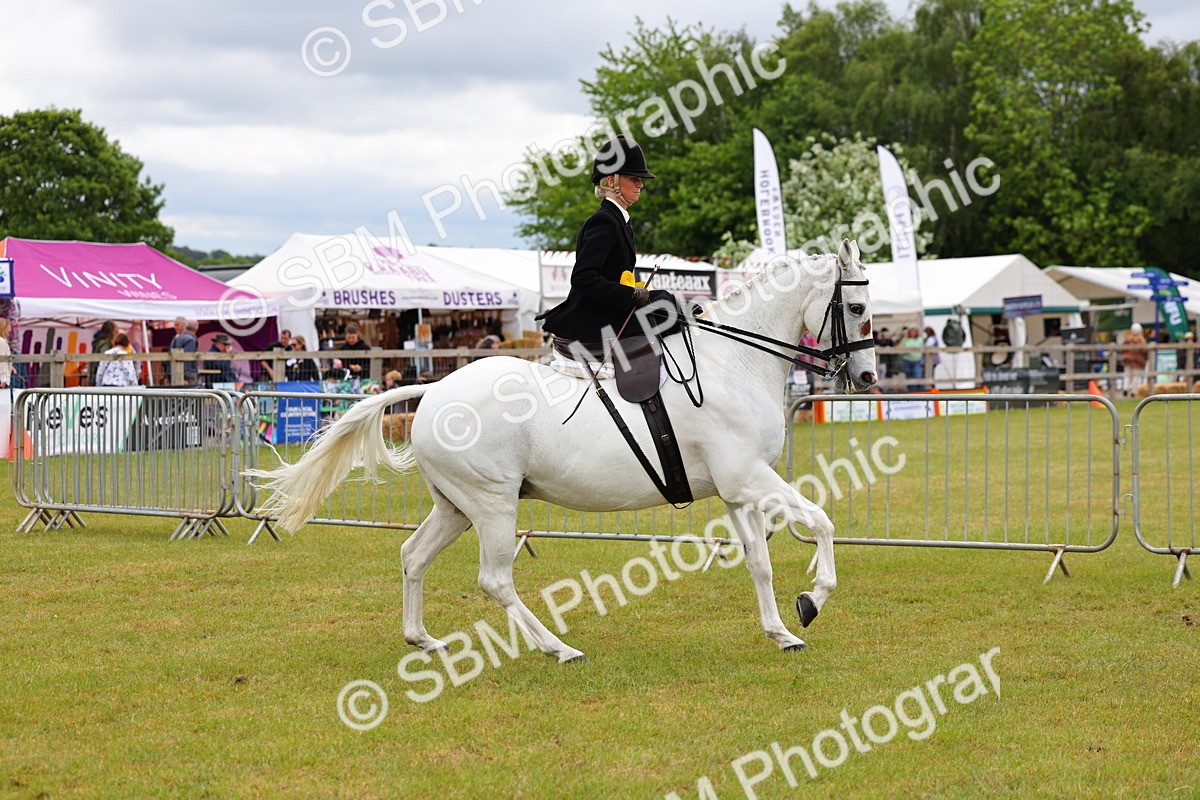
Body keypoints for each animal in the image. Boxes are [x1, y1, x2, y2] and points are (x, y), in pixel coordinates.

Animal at [250, 239, 876, 662]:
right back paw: (557, 647)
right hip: (494, 505)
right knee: (495, 580)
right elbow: (821, 522)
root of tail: (433, 391)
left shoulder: (737, 489)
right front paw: (813, 600)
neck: (733, 363)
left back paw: (422, 638)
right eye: (857, 309)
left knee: (413, 556)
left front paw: (783, 631)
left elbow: (760, 563)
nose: (868, 378)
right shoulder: (749, 478)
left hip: (456, 506)